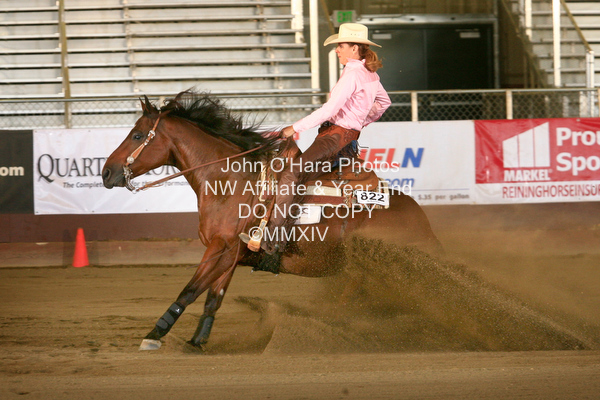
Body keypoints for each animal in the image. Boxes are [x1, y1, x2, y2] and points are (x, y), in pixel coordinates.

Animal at [101, 90, 442, 351]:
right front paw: (197, 341)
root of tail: (423, 221)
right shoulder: (232, 254)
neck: (231, 182)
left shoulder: (220, 248)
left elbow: (189, 290)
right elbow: (213, 297)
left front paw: (154, 334)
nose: (106, 172)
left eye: (137, 134)